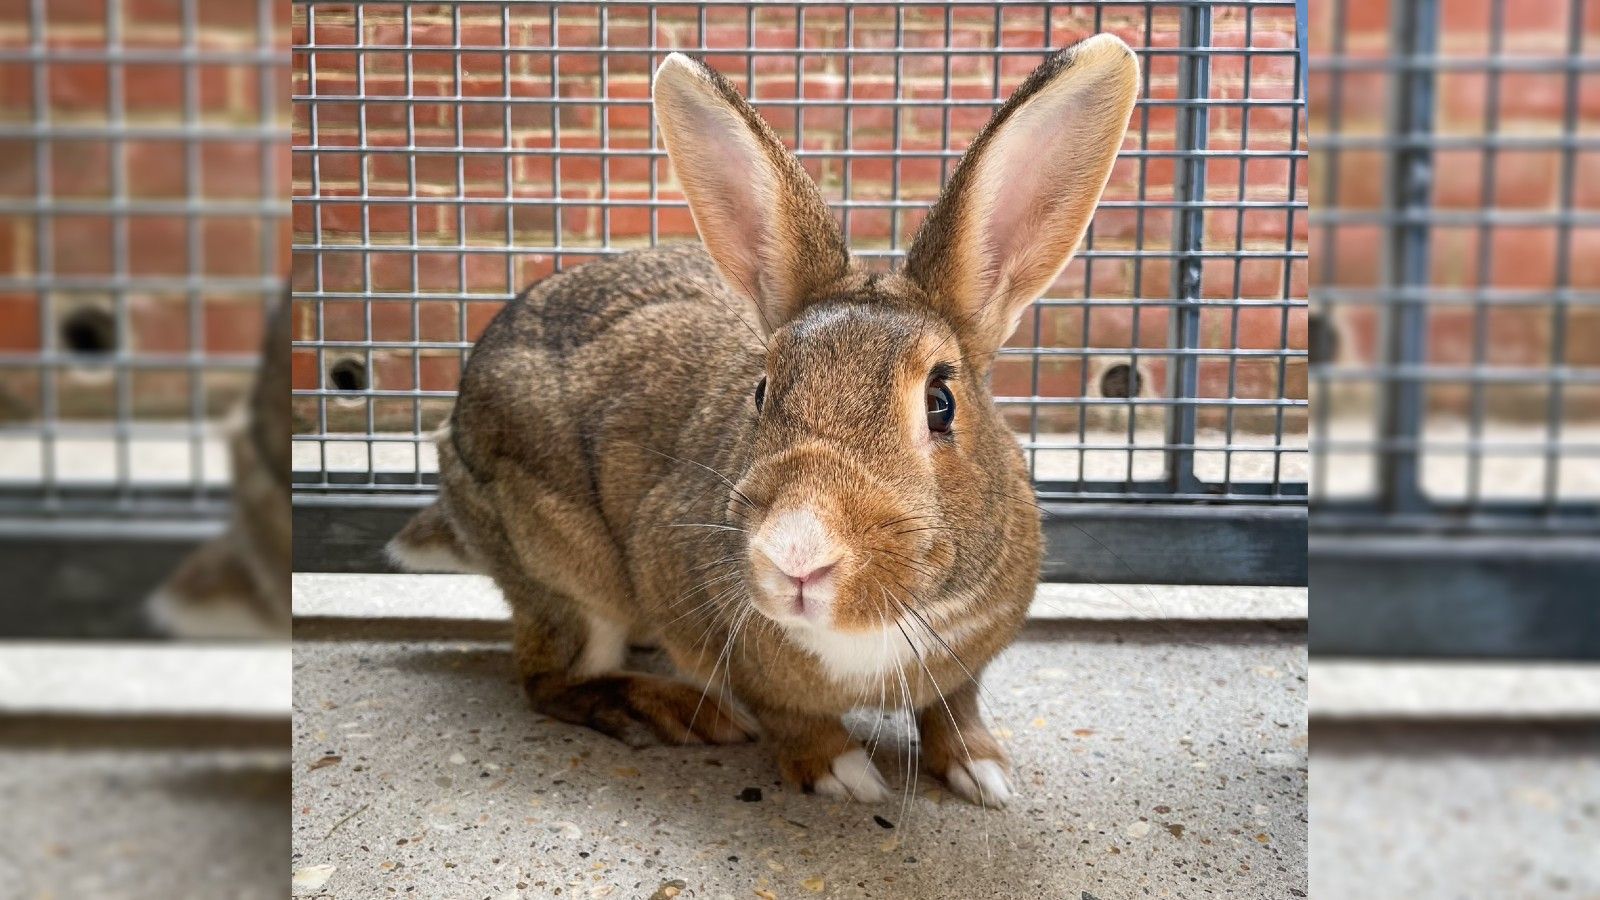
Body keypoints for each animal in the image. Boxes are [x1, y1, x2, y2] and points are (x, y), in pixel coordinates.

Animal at [388, 34, 1138, 805]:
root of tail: (450, 452)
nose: (796, 556)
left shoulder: (971, 657)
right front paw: (842, 773)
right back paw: (676, 709)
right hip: (561, 566)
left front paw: (982, 771)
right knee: (549, 679)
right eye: (761, 389)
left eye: (941, 403)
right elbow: (784, 714)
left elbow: (954, 703)